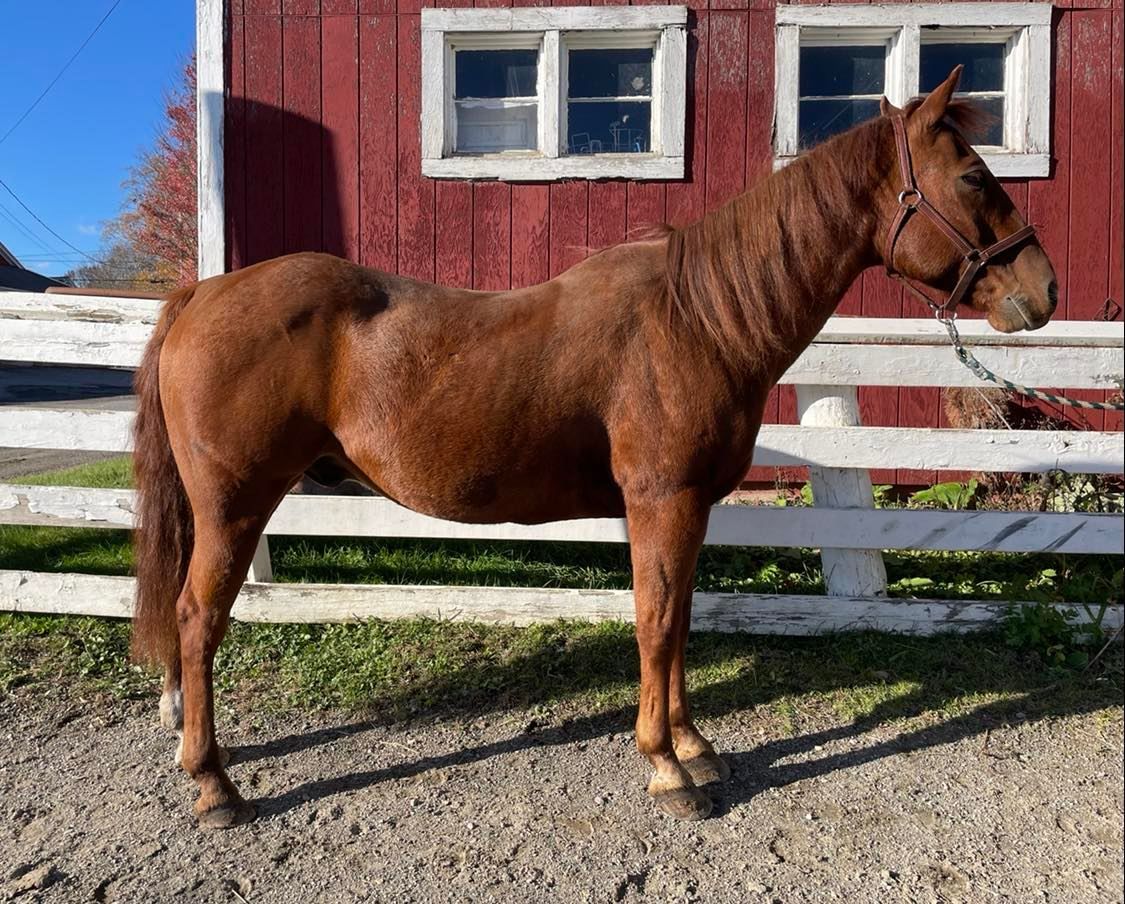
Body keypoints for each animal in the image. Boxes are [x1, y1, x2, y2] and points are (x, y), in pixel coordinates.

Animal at [131, 68, 1057, 829]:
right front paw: (666, 770)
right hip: (235, 504)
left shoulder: (688, 507)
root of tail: (202, 293)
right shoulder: (661, 500)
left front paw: (693, 747)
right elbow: (654, 621)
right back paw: (214, 785)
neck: (699, 319)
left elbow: (678, 620)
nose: (1043, 289)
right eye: (973, 176)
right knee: (196, 619)